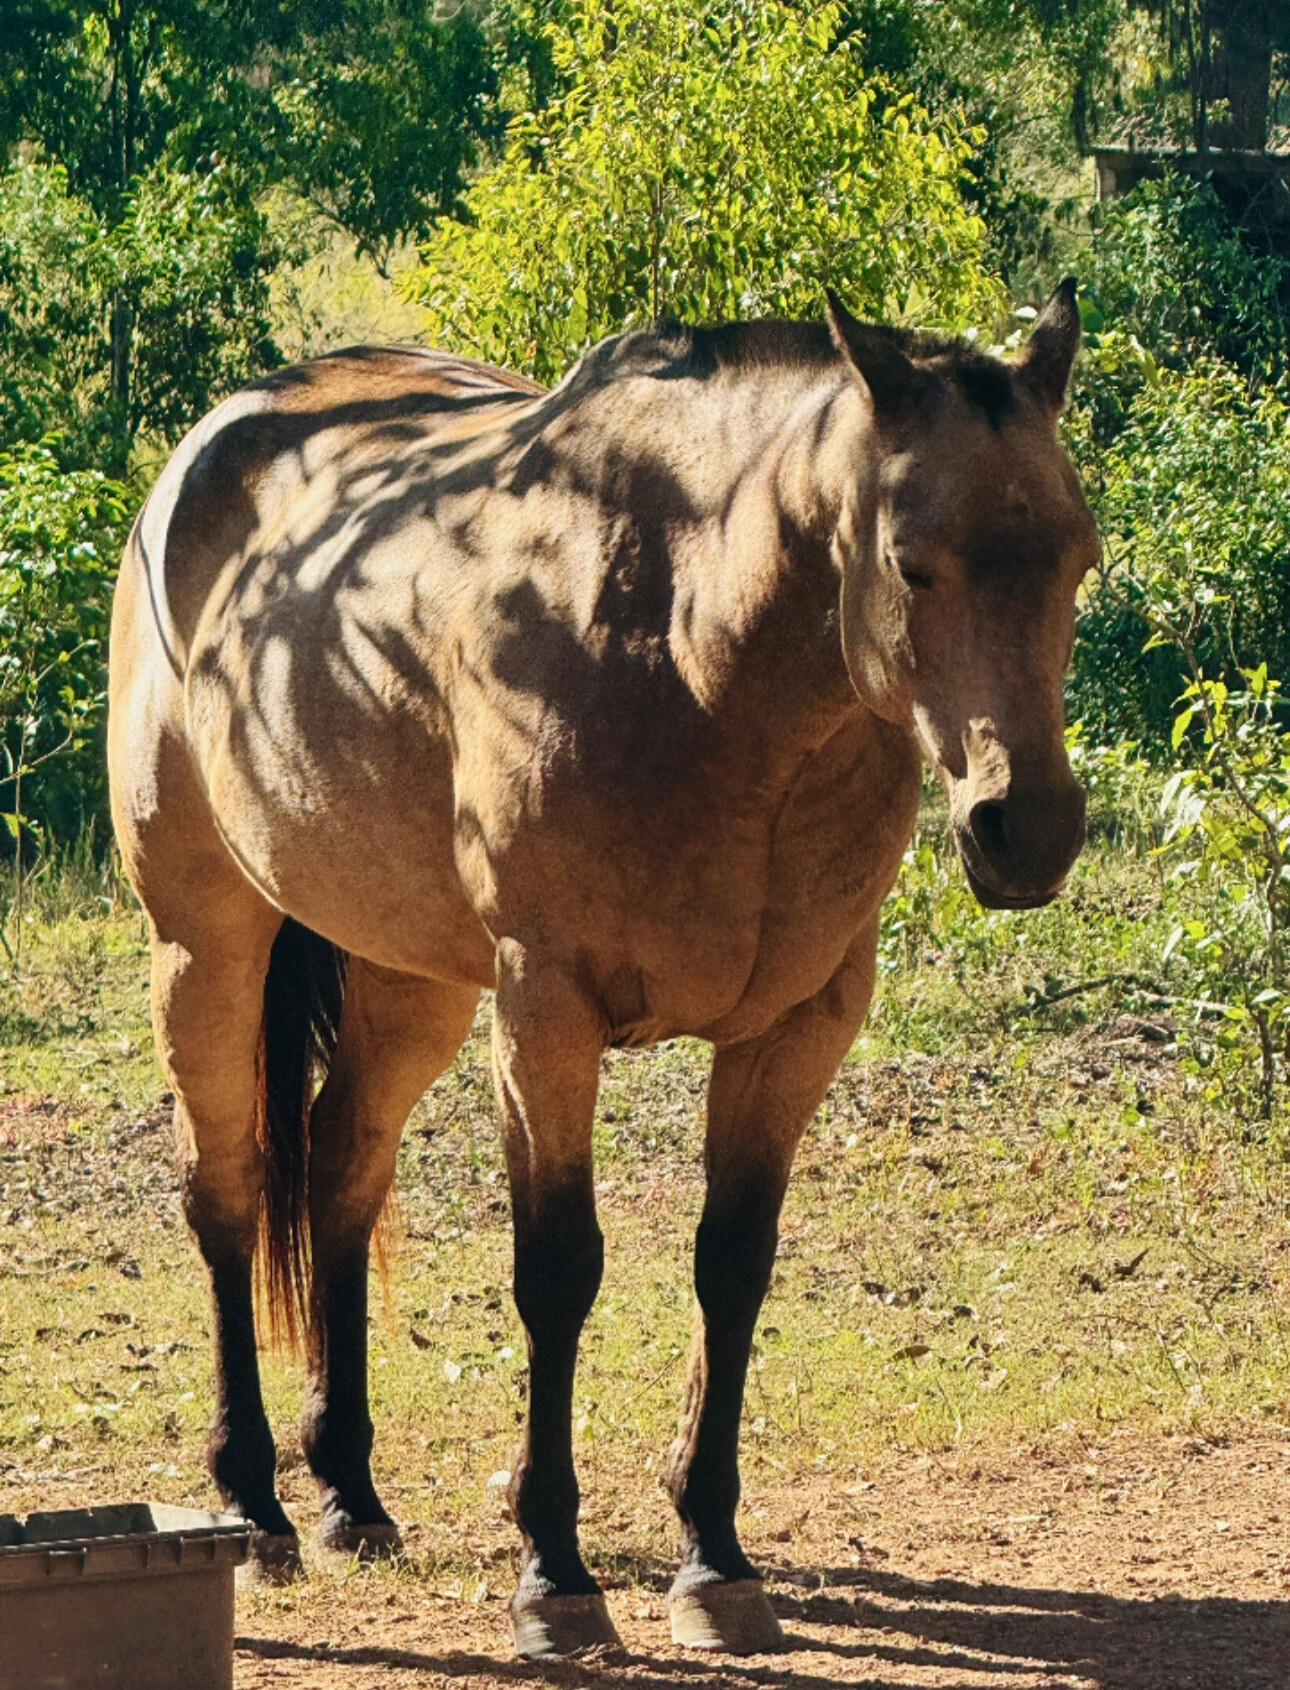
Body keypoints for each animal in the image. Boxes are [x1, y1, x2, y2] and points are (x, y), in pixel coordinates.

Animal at [108, 282, 1096, 1657]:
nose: (1030, 828)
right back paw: (253, 1507)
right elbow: (558, 1273)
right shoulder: (547, 1016)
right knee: (231, 1196)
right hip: (206, 943)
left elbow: (732, 1265)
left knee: (344, 1170)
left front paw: (714, 1556)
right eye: (912, 562)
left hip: (411, 981)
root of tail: (211, 453)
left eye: (1077, 556)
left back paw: (351, 1493)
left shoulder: (797, 1028)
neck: (687, 653)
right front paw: (555, 1575)